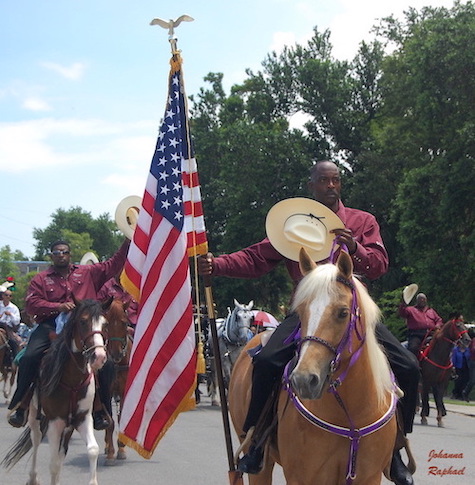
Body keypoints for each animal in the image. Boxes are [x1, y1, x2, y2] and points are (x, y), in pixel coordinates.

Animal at [2, 298, 108, 484]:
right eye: (83, 321)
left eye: (104, 323)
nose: (99, 356)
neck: (71, 378)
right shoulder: (55, 421)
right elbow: (53, 463)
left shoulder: (82, 418)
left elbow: (92, 450)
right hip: (34, 414)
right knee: (36, 439)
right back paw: (33, 477)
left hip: (67, 426)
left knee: (60, 453)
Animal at [229, 250, 400, 484]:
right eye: (300, 312)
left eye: (343, 312)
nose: (303, 380)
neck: (350, 416)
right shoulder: (304, 477)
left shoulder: (369, 478)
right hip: (259, 460)